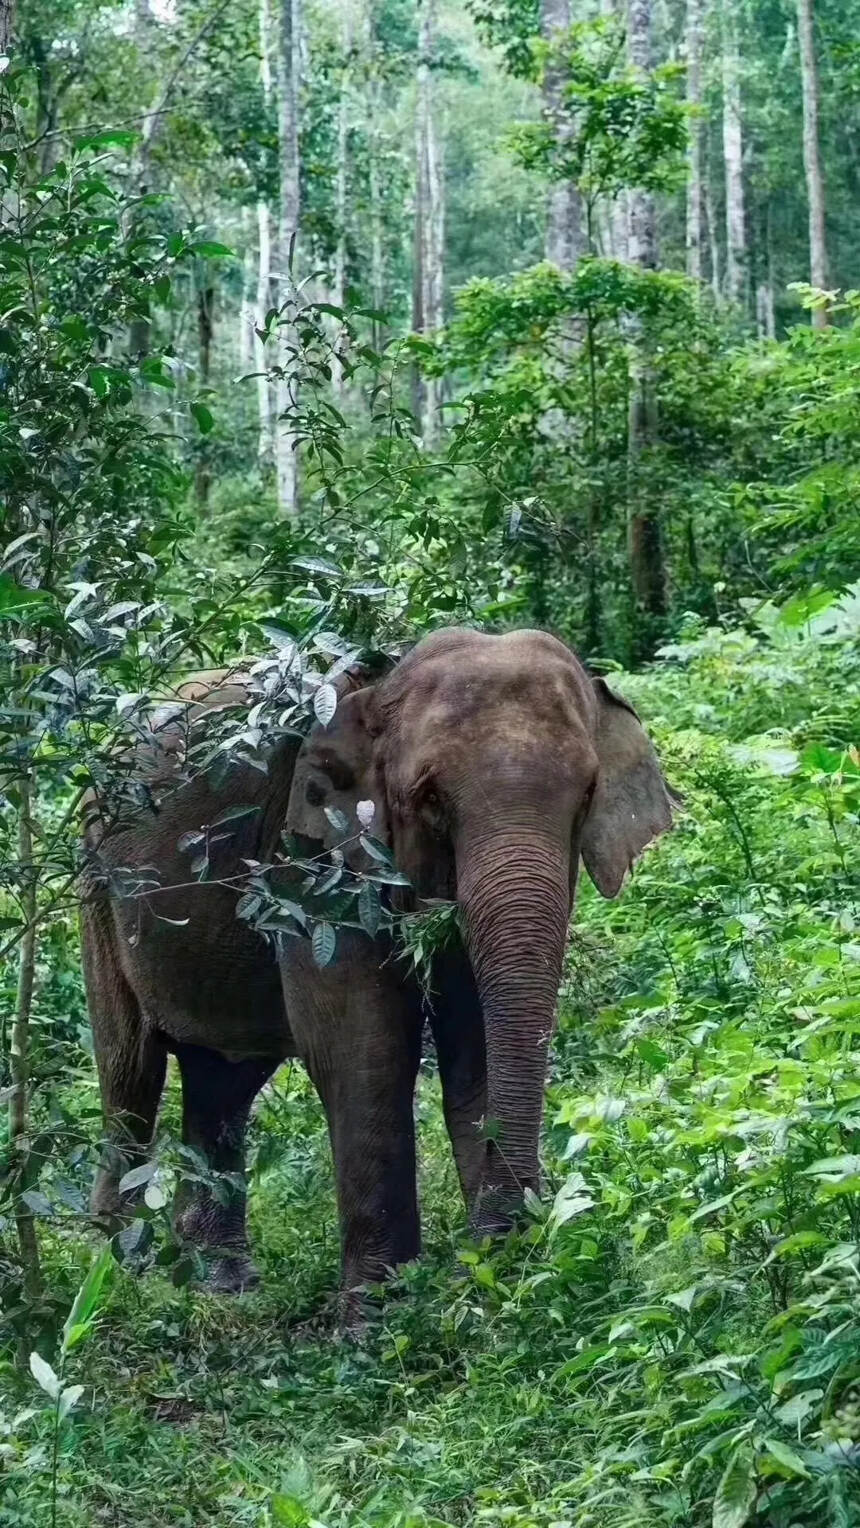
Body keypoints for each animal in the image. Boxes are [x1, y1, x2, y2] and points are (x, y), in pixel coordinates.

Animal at [80, 626, 675, 1307]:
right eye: (430, 799)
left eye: (587, 797)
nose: (495, 1248)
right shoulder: (312, 857)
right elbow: (363, 1045)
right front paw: (379, 1317)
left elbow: (472, 1041)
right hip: (97, 888)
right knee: (130, 1071)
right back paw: (115, 1277)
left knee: (223, 1080)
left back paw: (221, 1287)